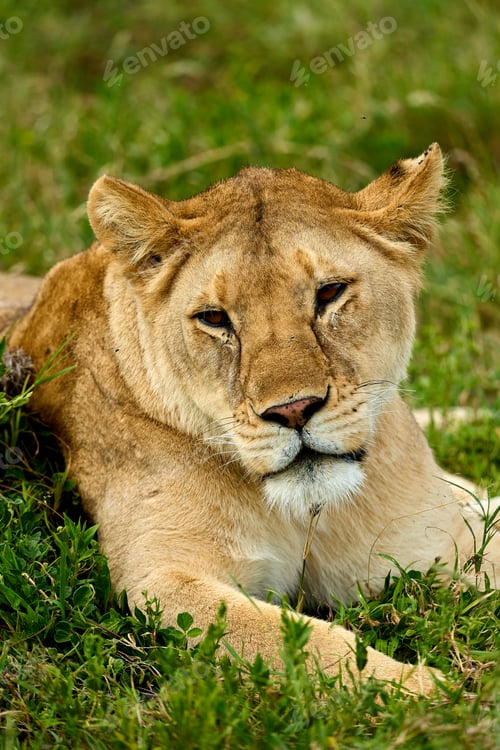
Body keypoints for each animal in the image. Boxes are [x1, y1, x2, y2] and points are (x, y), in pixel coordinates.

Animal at [3, 143, 499, 695]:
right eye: (214, 318)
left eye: (329, 292)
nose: (293, 410)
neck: (306, 515)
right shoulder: (159, 578)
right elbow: (300, 643)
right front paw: (430, 693)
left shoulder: (436, 536)